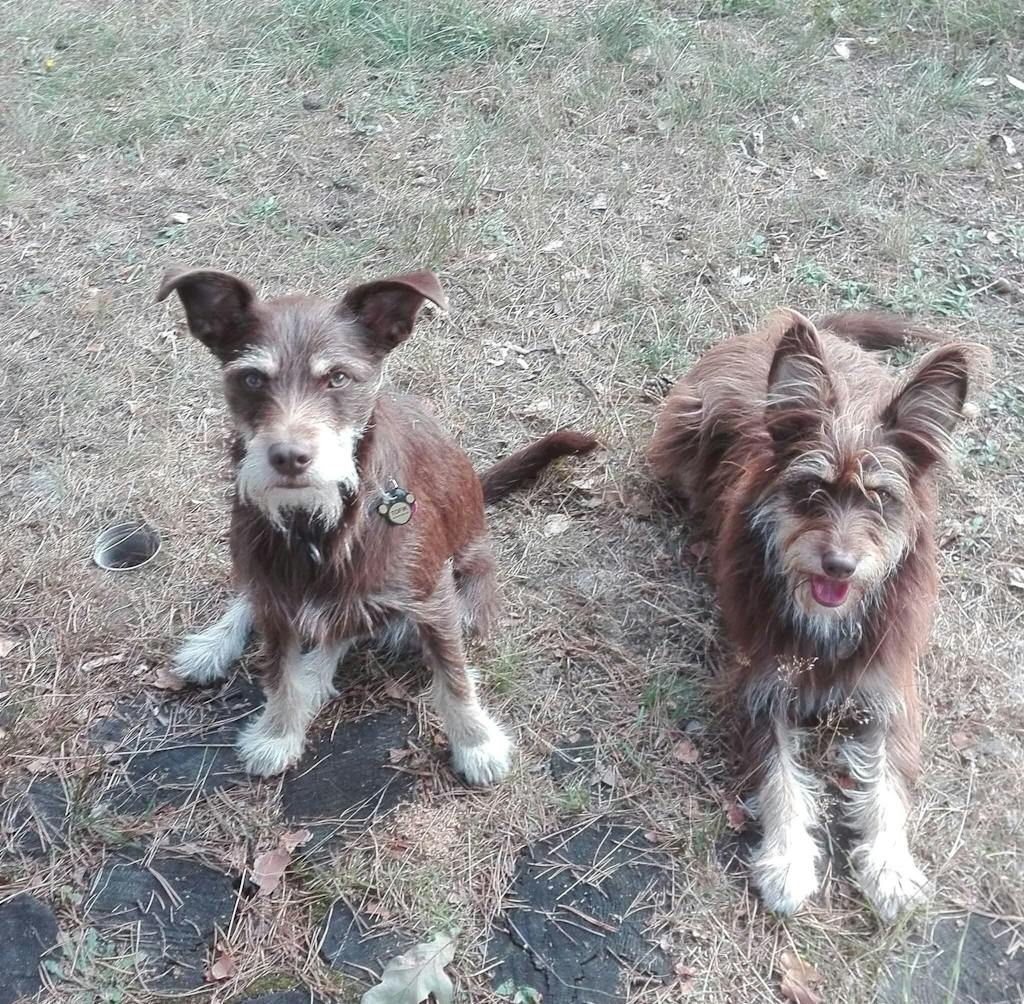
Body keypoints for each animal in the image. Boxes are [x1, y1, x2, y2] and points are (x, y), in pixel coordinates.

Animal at [157, 267, 596, 784]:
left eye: (338, 377)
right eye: (251, 378)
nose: (288, 457)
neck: (319, 522)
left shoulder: (432, 596)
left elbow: (454, 677)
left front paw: (476, 743)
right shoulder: (275, 588)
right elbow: (278, 671)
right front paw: (278, 733)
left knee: (352, 626)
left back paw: (316, 671)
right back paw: (216, 646)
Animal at [651, 309, 976, 920]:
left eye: (880, 497)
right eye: (811, 487)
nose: (840, 566)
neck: (828, 620)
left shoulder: (890, 692)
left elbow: (889, 787)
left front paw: (891, 869)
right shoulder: (761, 687)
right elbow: (780, 779)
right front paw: (787, 863)